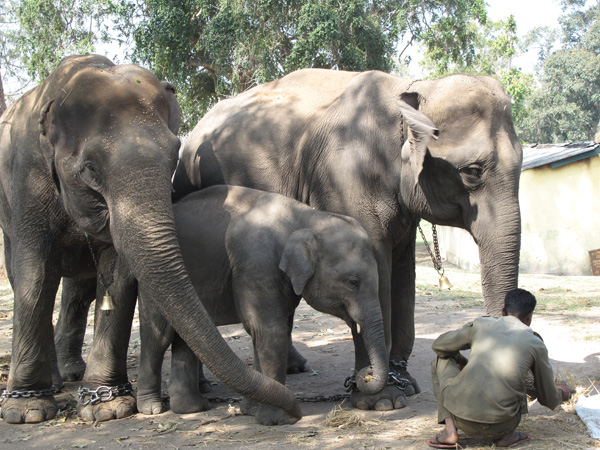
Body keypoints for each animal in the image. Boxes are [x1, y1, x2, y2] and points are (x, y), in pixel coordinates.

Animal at [0, 54, 300, 424]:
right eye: (90, 169)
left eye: (174, 155)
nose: (295, 409)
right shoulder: (27, 179)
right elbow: (35, 272)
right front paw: (28, 411)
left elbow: (117, 276)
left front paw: (107, 407)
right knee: (27, 277)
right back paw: (56, 383)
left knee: (78, 291)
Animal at [137, 185, 390, 426]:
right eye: (353, 282)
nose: (364, 375)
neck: (307, 217)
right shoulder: (257, 264)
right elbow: (270, 332)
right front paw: (276, 420)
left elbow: (264, 333)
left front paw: (250, 411)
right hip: (152, 281)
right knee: (158, 337)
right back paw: (152, 408)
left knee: (188, 336)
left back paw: (191, 409)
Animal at [171, 69, 524, 412]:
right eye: (472, 172)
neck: (412, 87)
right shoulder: (346, 180)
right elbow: (377, 272)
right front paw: (382, 401)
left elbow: (403, 275)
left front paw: (405, 385)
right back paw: (207, 387)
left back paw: (293, 368)